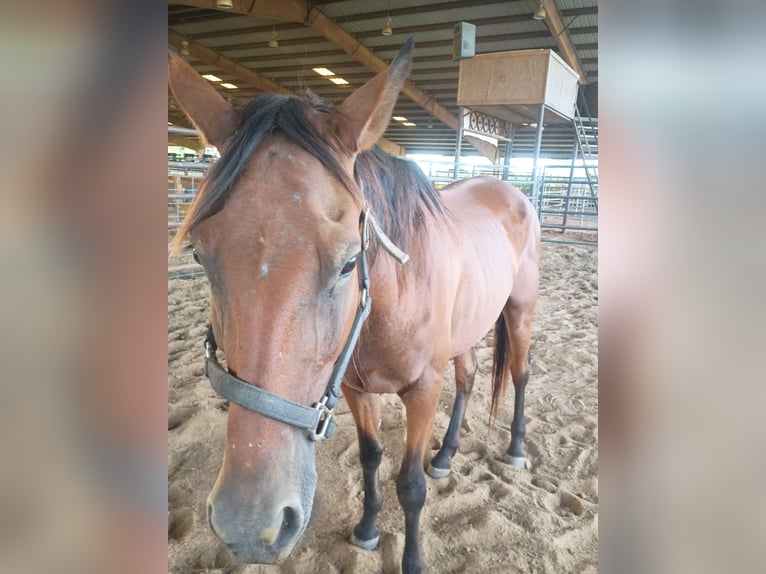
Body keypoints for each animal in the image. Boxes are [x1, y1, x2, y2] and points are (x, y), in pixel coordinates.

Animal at [168, 38, 540, 574]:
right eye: (199, 254)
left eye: (349, 262)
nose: (249, 526)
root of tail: (508, 188)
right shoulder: (354, 388)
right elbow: (370, 457)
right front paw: (366, 530)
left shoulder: (423, 389)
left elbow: (410, 485)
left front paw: (411, 559)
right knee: (469, 375)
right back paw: (446, 456)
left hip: (520, 311)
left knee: (519, 374)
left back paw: (513, 449)